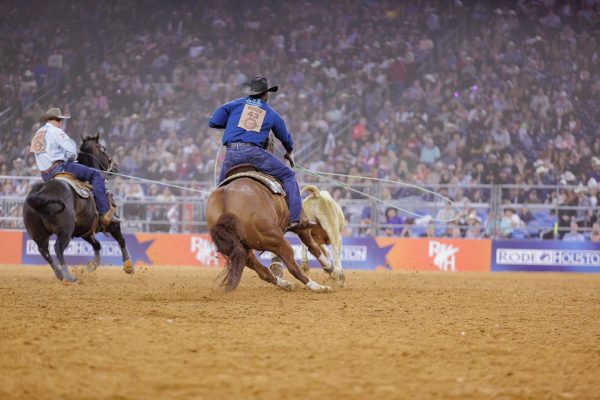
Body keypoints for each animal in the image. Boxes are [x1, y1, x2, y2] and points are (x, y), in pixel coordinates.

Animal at [23, 134, 132, 282]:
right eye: (103, 149)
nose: (115, 166)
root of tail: (39, 193)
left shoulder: (84, 229)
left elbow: (97, 244)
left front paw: (93, 264)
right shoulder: (111, 224)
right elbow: (121, 239)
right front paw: (128, 265)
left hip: (39, 234)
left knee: (44, 251)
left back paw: (59, 274)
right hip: (65, 230)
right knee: (58, 248)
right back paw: (68, 275)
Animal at [206, 167, 342, 292]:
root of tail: (226, 204)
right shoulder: (302, 227)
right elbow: (313, 247)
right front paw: (332, 270)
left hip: (244, 248)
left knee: (262, 271)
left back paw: (286, 284)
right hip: (276, 240)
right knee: (292, 267)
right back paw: (318, 286)